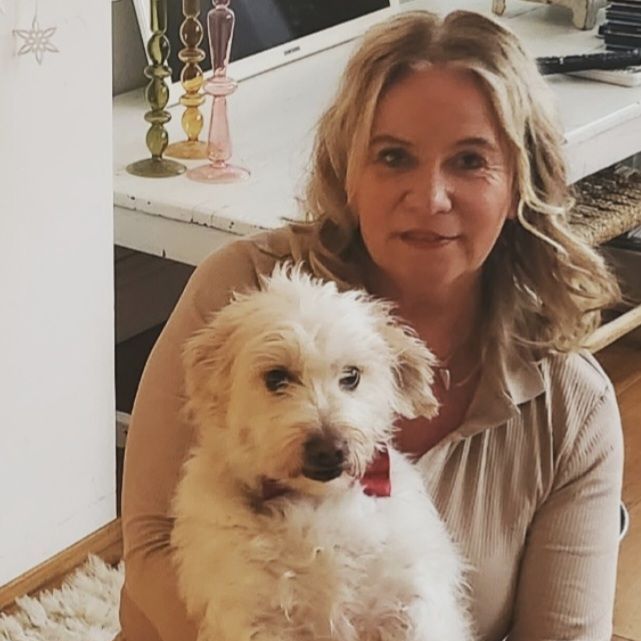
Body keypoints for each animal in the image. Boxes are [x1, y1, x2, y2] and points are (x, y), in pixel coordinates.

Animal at [171, 264, 473, 641]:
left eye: (351, 375)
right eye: (276, 377)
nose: (329, 450)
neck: (319, 504)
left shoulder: (411, 600)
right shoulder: (252, 616)